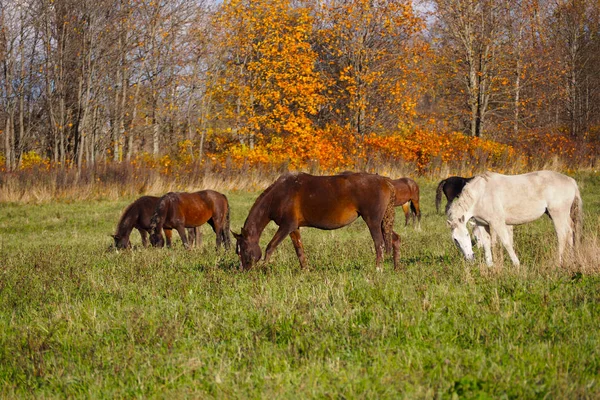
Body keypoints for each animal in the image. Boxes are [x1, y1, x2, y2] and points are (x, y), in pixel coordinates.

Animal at [232, 170, 400, 270]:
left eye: (244, 250)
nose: (243, 271)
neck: (279, 195)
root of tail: (385, 181)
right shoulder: (294, 228)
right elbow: (299, 250)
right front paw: (305, 270)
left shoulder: (287, 226)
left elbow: (270, 247)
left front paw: (264, 268)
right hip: (382, 223)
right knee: (394, 239)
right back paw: (396, 267)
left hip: (373, 221)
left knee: (379, 244)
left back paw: (378, 269)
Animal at [450, 170, 580, 268]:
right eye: (455, 240)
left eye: (467, 235)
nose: (470, 258)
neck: (481, 194)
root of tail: (570, 180)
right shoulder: (482, 224)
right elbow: (487, 243)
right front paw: (490, 266)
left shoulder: (497, 223)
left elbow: (506, 243)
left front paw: (516, 264)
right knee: (570, 232)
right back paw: (571, 260)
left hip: (558, 215)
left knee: (562, 235)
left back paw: (558, 263)